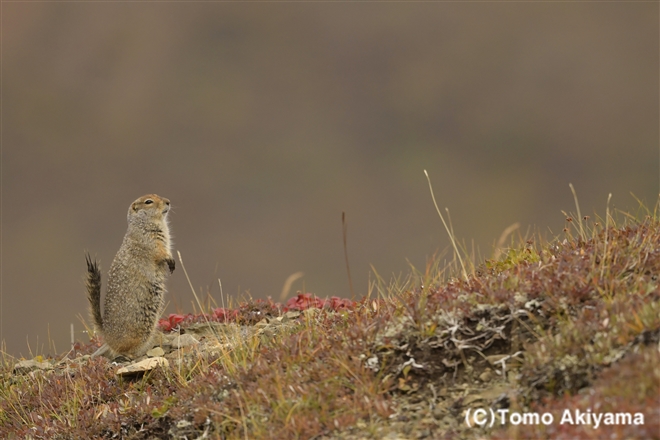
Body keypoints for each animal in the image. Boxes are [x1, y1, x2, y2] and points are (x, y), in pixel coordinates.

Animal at [85, 194, 175, 360]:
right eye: (148, 202)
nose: (168, 202)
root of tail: (106, 335)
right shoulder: (150, 239)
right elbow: (159, 251)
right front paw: (170, 260)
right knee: (120, 350)